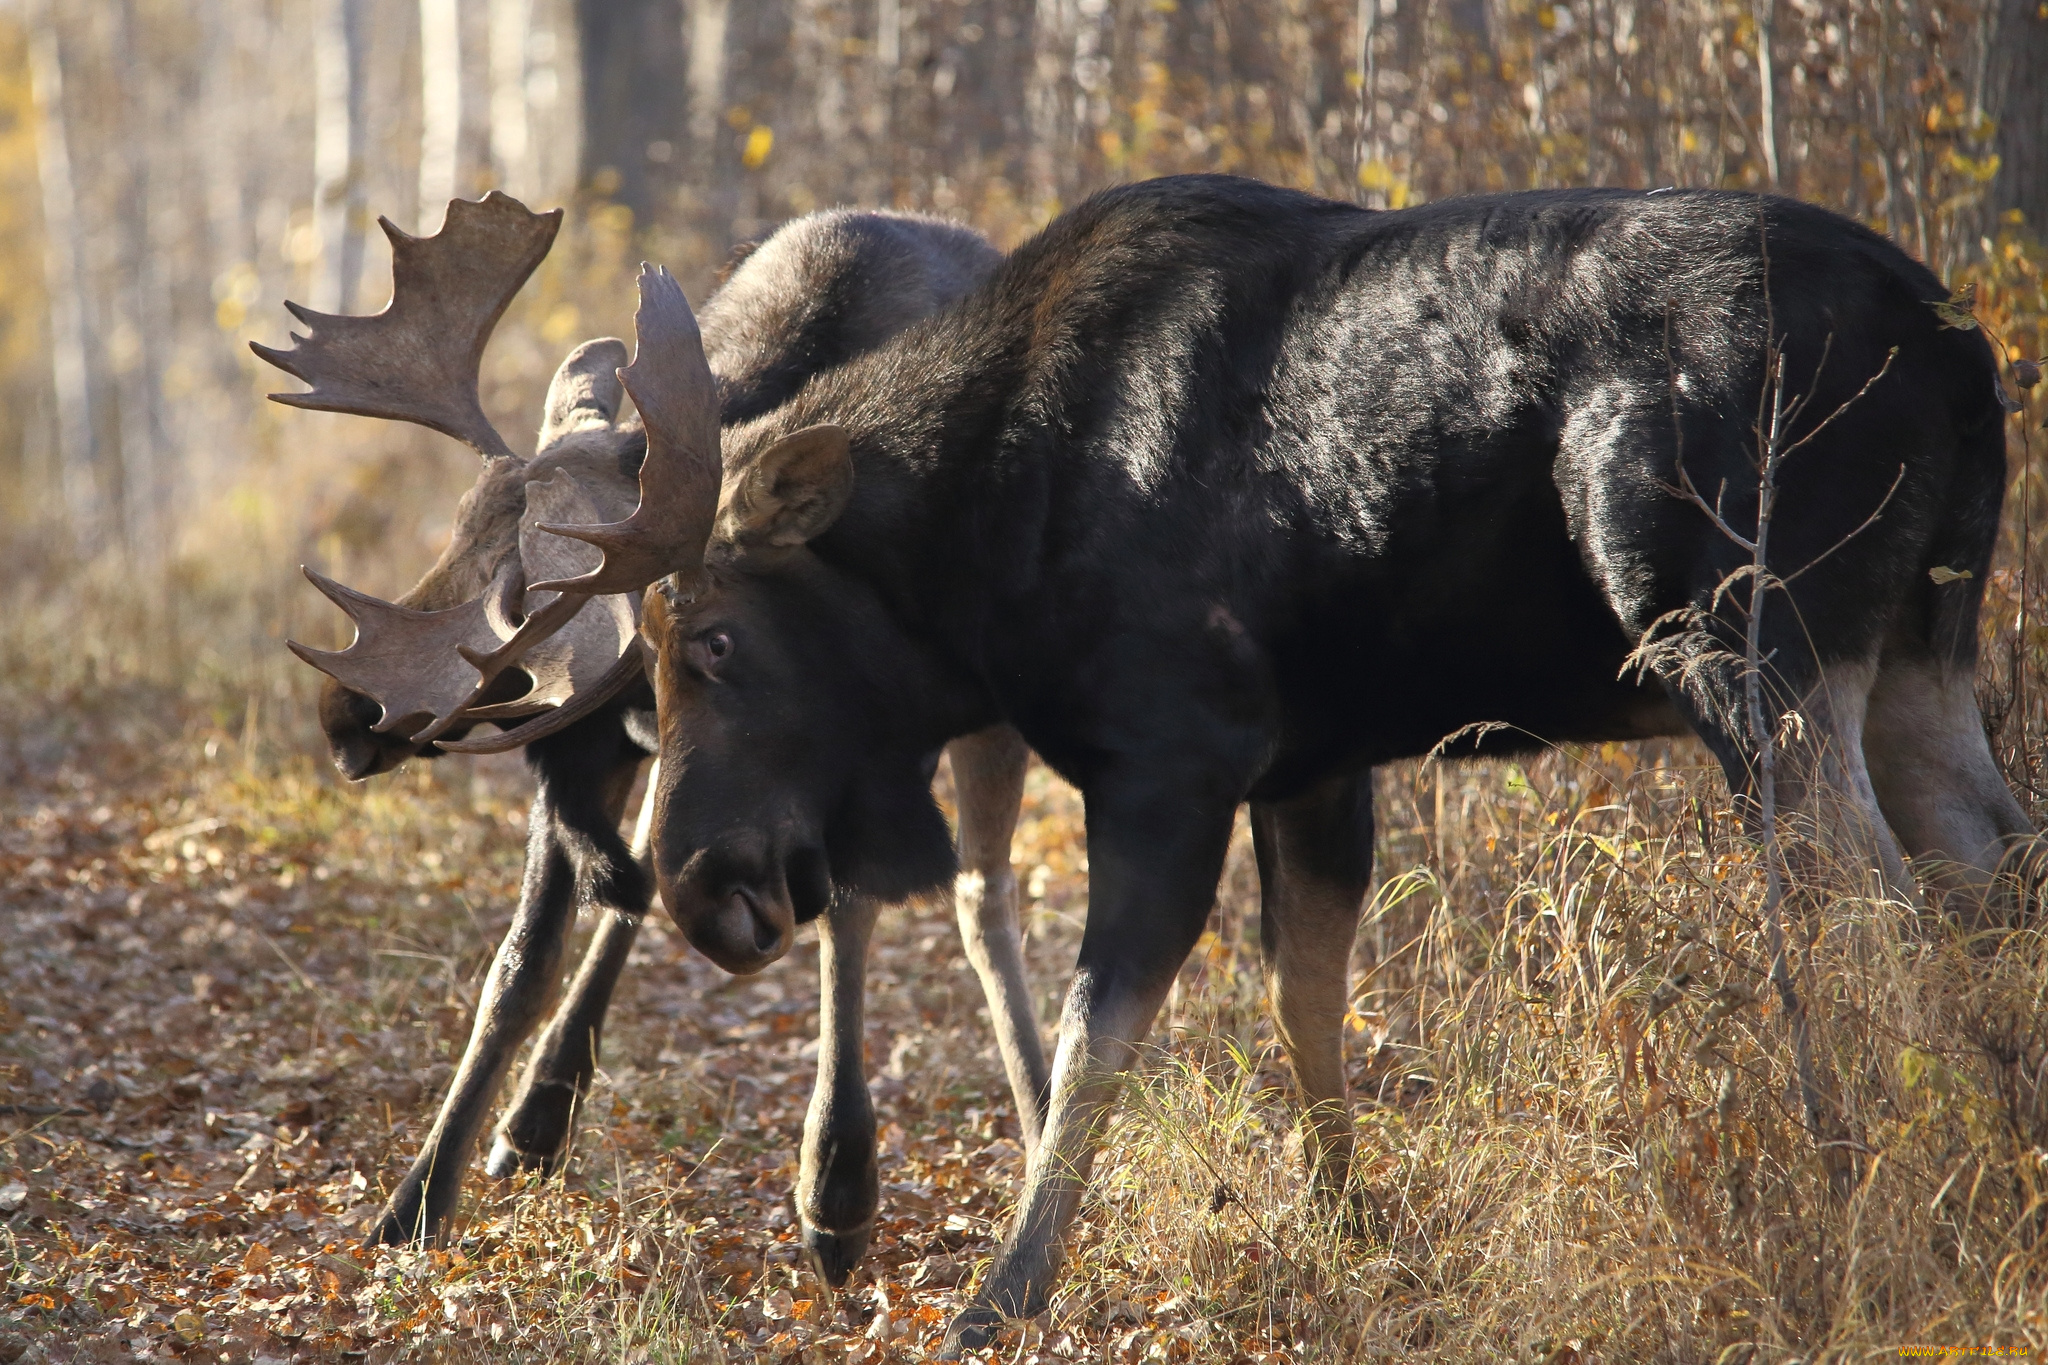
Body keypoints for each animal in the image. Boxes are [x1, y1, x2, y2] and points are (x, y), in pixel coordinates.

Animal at [272, 173, 2031, 1358]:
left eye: (703, 640)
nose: (696, 881)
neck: (984, 546)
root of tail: (1966, 360)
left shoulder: (1172, 749)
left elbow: (1099, 1027)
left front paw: (1000, 1293)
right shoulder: (1317, 757)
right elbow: (1306, 996)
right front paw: (1354, 1226)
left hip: (1743, 639)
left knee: (1871, 918)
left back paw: (1872, 1195)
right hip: (1921, 653)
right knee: (1993, 878)